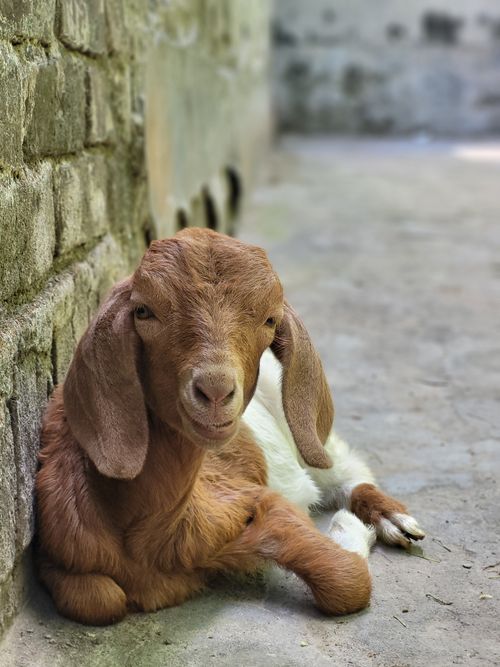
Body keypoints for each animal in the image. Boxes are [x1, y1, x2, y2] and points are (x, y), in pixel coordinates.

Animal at [36, 228, 424, 625]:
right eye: (143, 311)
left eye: (270, 320)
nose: (215, 390)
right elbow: (99, 598)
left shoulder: (255, 498)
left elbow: (345, 580)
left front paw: (349, 527)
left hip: (303, 430)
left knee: (345, 468)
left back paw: (392, 518)